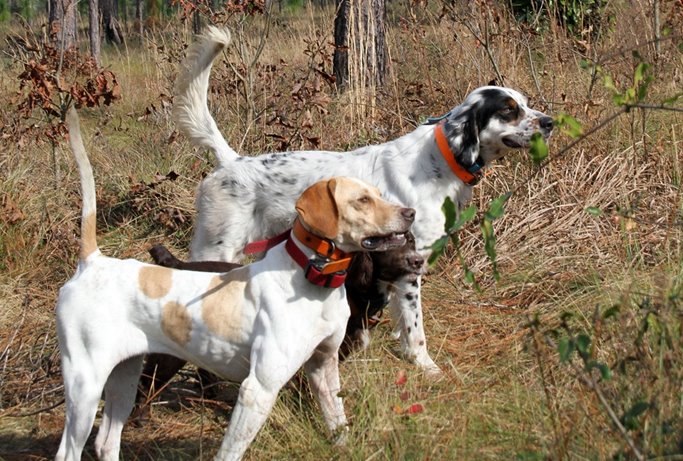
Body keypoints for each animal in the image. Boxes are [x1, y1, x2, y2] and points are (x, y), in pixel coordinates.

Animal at [53, 108, 414, 460]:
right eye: (362, 200)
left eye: (380, 194)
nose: (410, 213)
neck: (313, 281)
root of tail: (93, 261)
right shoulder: (259, 389)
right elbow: (231, 450)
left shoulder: (323, 367)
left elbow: (338, 423)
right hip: (86, 385)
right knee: (69, 450)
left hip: (123, 378)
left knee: (105, 442)